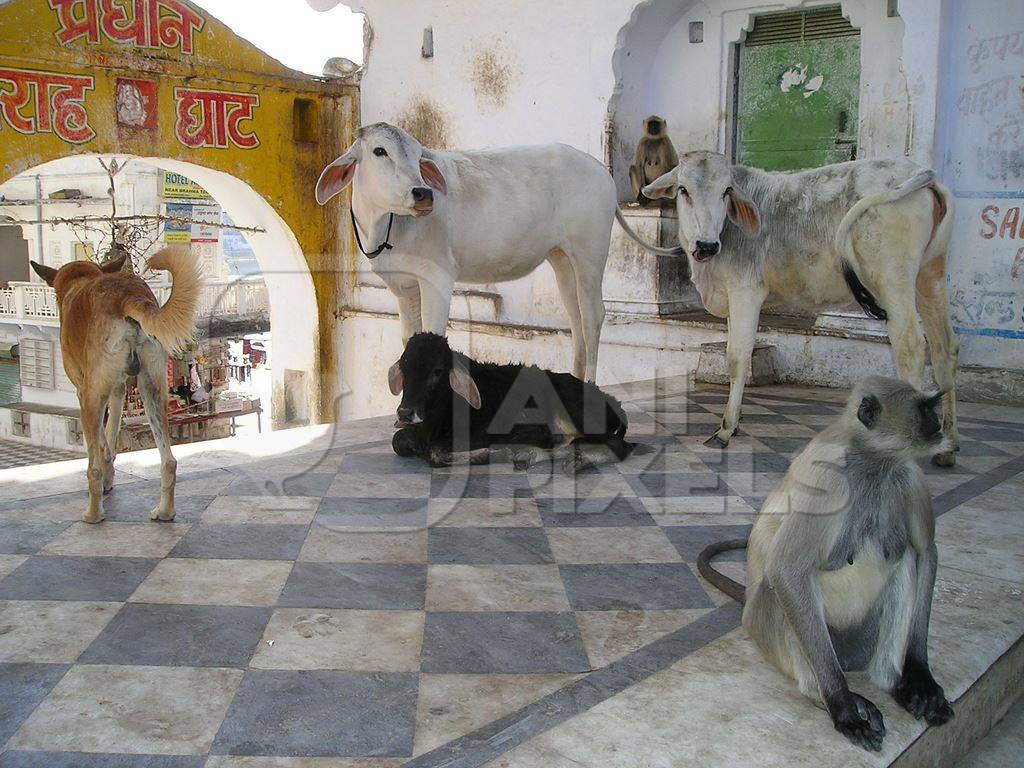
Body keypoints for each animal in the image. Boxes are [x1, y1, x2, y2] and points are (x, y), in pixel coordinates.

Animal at [30, 249, 202, 528]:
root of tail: (126, 294)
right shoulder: (119, 389)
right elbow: (110, 436)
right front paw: (110, 474)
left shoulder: (86, 392)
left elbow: (102, 443)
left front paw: (106, 475)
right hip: (152, 389)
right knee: (169, 461)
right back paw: (165, 511)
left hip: (92, 397)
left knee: (92, 468)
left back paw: (93, 513)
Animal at [311, 123, 614, 385]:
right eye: (379, 151)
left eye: (419, 155)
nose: (423, 193)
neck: (384, 225)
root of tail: (599, 168)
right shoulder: (403, 287)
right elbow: (411, 340)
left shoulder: (436, 279)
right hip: (562, 258)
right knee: (575, 318)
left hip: (590, 253)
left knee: (592, 316)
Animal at [389, 333, 634, 473]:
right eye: (404, 366)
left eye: (437, 371)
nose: (405, 412)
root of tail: (612, 401)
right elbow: (397, 441)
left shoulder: (478, 434)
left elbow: (434, 452)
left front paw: (491, 454)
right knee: (570, 444)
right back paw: (528, 456)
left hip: (582, 416)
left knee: (618, 446)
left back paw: (576, 463)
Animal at [622, 148, 958, 462]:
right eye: (683, 190)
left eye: (726, 191)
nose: (706, 245)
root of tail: (921, 174)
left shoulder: (746, 292)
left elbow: (737, 358)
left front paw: (727, 428)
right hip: (930, 276)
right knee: (945, 347)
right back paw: (949, 447)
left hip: (892, 281)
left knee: (911, 348)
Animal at [704, 376, 950, 753]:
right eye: (924, 409)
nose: (938, 424)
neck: (873, 461)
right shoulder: (828, 479)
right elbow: (788, 570)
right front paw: (842, 704)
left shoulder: (909, 475)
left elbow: (926, 552)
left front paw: (920, 675)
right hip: (776, 629)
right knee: (778, 587)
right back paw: (825, 694)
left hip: (860, 639)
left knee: (906, 556)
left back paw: (893, 682)